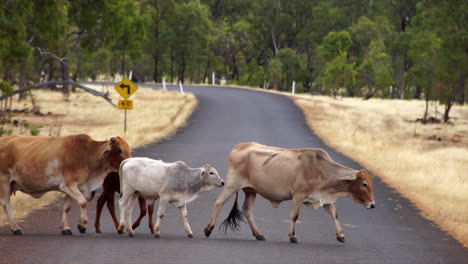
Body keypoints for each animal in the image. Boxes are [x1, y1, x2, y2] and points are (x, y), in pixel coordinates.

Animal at [0, 134, 131, 235]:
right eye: (119, 150)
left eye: (128, 148)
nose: (129, 162)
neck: (87, 154)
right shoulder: (68, 185)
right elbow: (83, 202)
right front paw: (82, 225)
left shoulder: (73, 188)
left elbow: (67, 208)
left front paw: (65, 228)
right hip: (4, 181)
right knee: (6, 204)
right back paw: (16, 229)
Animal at [205, 142, 376, 243]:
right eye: (364, 184)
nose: (373, 205)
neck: (321, 169)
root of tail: (240, 146)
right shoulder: (298, 196)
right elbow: (294, 216)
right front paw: (293, 236)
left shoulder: (321, 198)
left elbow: (334, 214)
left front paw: (340, 235)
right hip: (232, 185)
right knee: (219, 202)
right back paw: (208, 229)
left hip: (251, 190)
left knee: (247, 210)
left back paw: (259, 234)